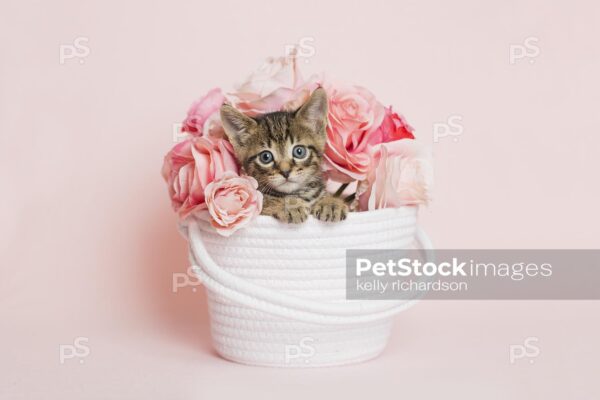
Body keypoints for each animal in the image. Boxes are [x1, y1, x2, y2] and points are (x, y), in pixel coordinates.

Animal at [220, 88, 346, 223]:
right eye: (266, 157)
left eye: (299, 151)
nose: (285, 172)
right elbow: (265, 200)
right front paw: (289, 205)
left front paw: (331, 203)